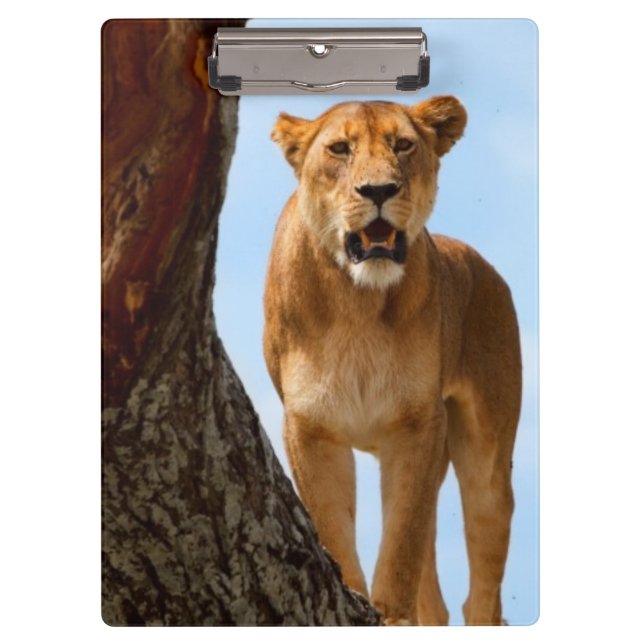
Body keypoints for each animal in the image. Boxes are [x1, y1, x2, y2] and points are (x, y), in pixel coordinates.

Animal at [263, 96, 521, 626]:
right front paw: (353, 595)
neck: (358, 303)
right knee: (436, 599)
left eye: (403, 145)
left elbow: (402, 541)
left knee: (481, 591)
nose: (379, 190)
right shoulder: (310, 427)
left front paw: (390, 615)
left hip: (485, 458)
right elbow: (333, 527)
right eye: (340, 149)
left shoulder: (419, 424)